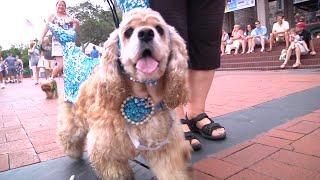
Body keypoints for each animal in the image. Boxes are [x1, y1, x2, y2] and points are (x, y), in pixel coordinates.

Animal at [57, 7, 191, 179]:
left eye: (160, 29)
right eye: (128, 32)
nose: (146, 33)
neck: (142, 97)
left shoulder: (165, 148)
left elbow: (171, 172)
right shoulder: (106, 150)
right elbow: (116, 171)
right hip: (73, 116)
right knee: (67, 133)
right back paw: (73, 152)